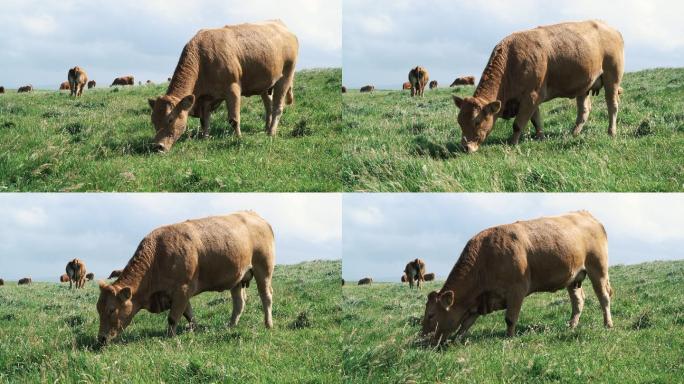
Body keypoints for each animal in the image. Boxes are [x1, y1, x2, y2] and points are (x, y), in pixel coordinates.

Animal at [95, 212, 276, 344]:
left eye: (111, 309)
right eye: (98, 309)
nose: (101, 338)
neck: (158, 257)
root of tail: (256, 216)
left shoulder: (182, 289)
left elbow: (173, 317)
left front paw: (169, 337)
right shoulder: (180, 294)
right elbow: (189, 314)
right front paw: (195, 329)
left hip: (263, 269)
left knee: (266, 296)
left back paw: (268, 324)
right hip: (237, 279)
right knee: (239, 303)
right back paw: (230, 326)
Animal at [147, 19, 300, 152]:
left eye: (170, 119)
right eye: (153, 121)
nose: (158, 146)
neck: (203, 59)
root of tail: (282, 25)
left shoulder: (232, 88)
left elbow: (234, 119)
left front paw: (239, 138)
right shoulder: (206, 97)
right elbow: (205, 120)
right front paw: (205, 138)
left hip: (286, 76)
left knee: (277, 107)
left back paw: (271, 132)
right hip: (265, 84)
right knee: (269, 106)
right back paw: (267, 128)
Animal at [422, 210, 616, 344]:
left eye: (431, 315)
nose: (422, 338)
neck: (486, 258)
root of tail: (586, 214)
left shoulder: (517, 289)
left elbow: (510, 318)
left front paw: (509, 338)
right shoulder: (479, 299)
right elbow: (466, 324)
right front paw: (457, 339)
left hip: (598, 269)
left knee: (603, 297)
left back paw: (608, 324)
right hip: (574, 277)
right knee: (578, 301)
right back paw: (571, 326)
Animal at [452, 19, 624, 152]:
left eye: (477, 122)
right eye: (460, 121)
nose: (465, 147)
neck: (511, 63)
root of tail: (612, 29)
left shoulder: (532, 96)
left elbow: (518, 124)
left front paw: (512, 144)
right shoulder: (530, 99)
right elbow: (536, 120)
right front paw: (540, 137)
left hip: (612, 77)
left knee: (612, 105)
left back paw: (611, 132)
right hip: (584, 85)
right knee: (584, 111)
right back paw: (574, 133)